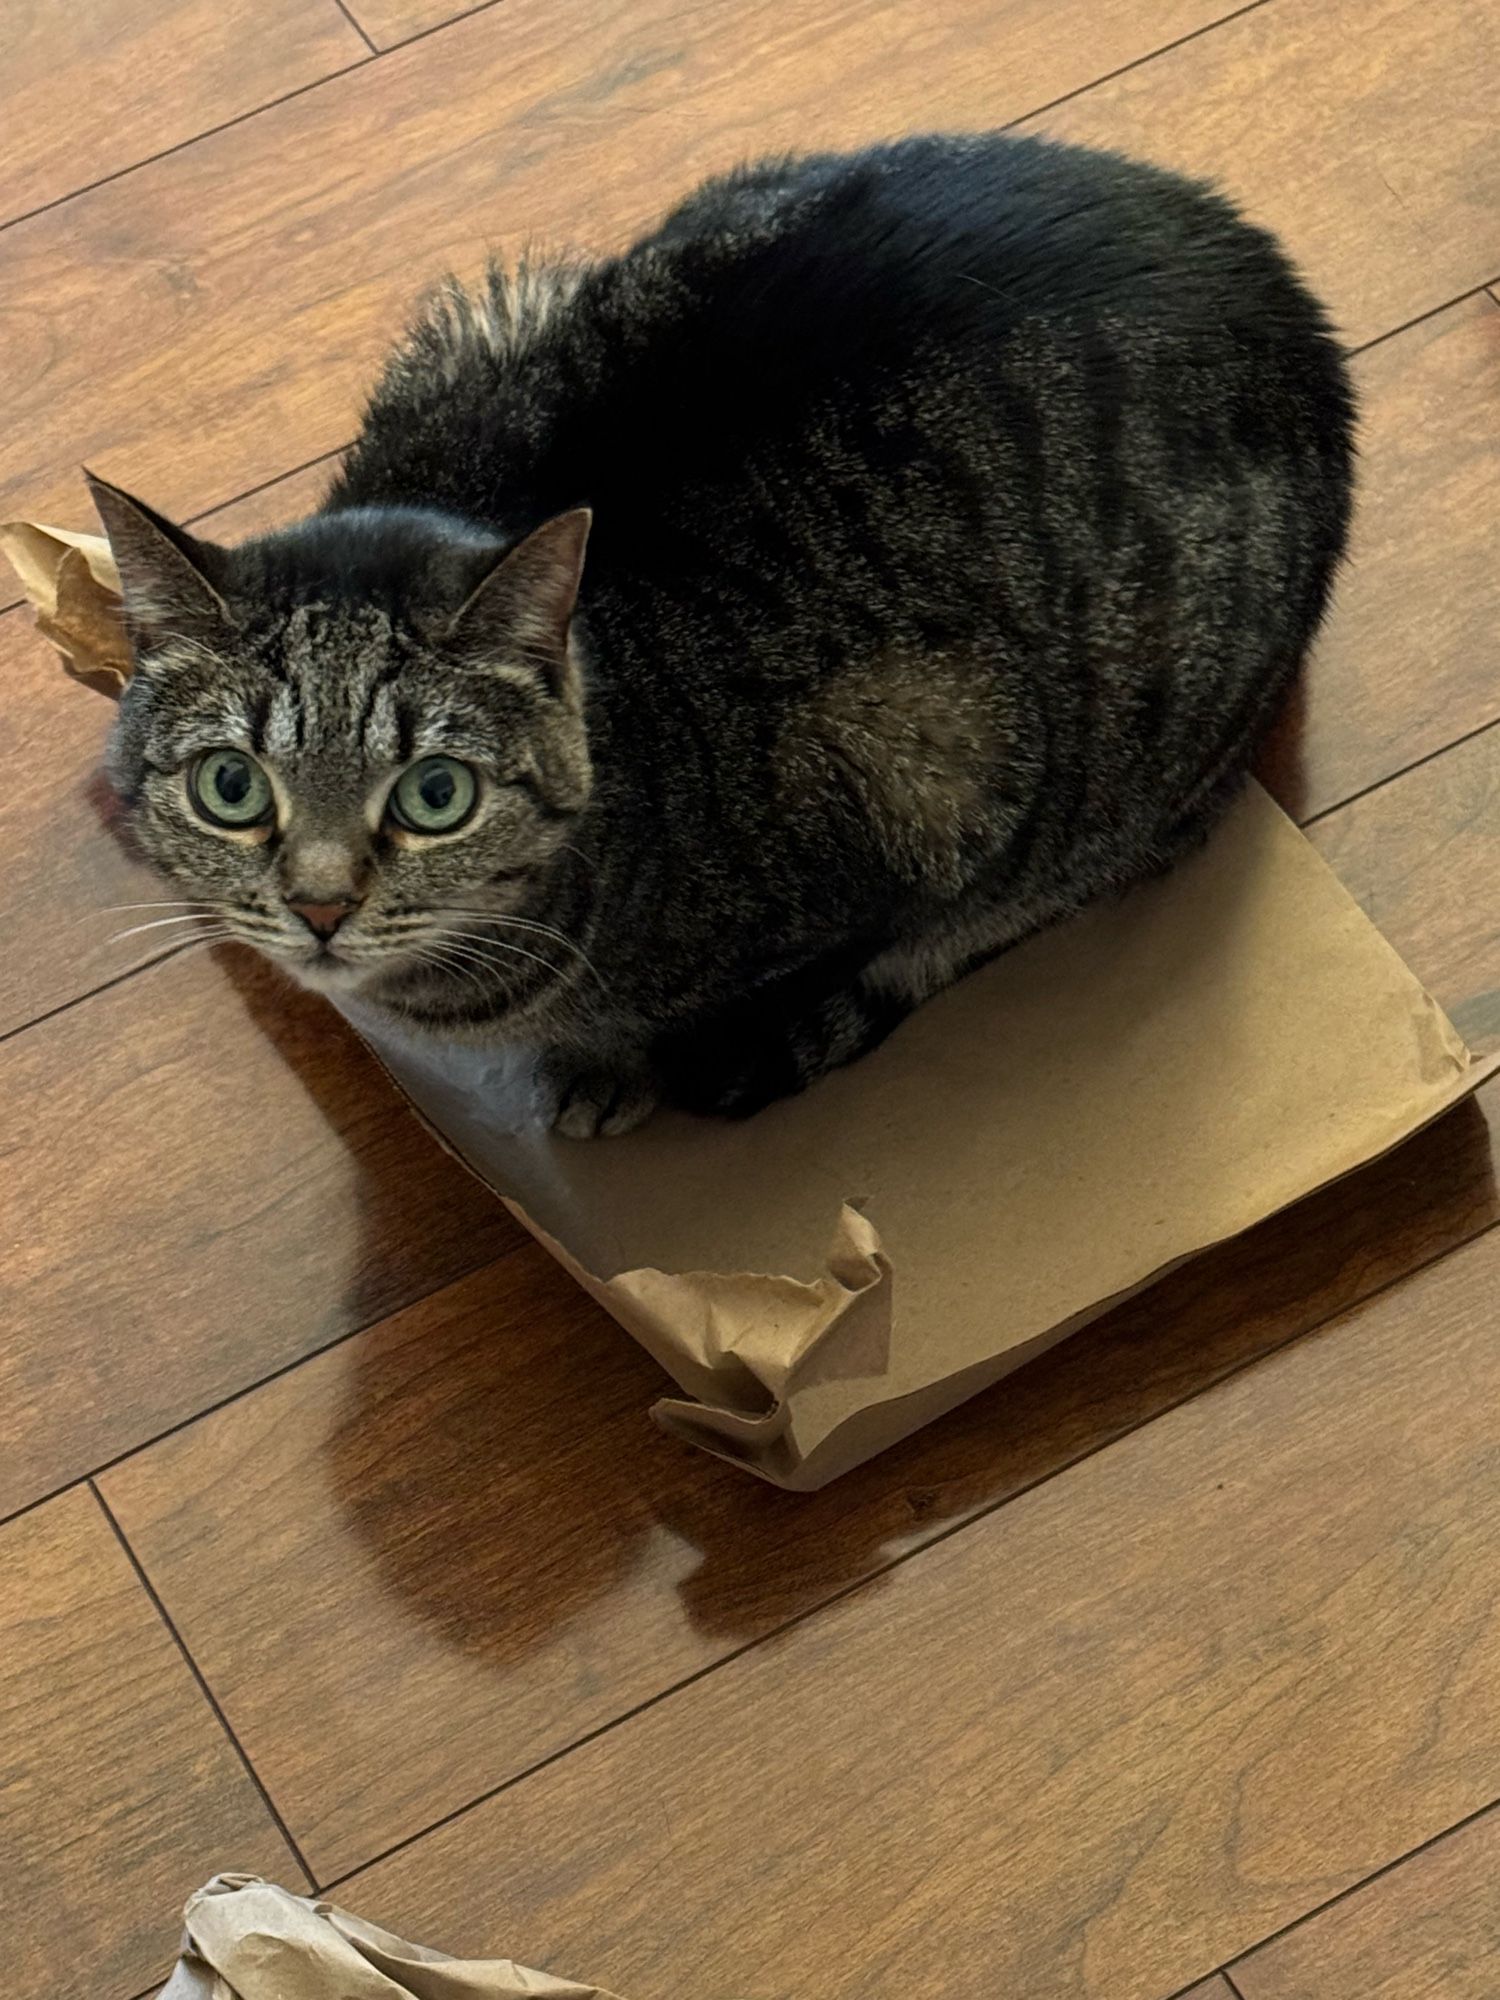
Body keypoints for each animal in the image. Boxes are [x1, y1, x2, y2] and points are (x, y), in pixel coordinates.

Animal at [94, 137, 1360, 1144]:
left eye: (435, 795)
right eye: (230, 786)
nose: (317, 907)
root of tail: (1292, 296)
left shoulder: (930, 761)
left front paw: (610, 1068)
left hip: (1136, 745)